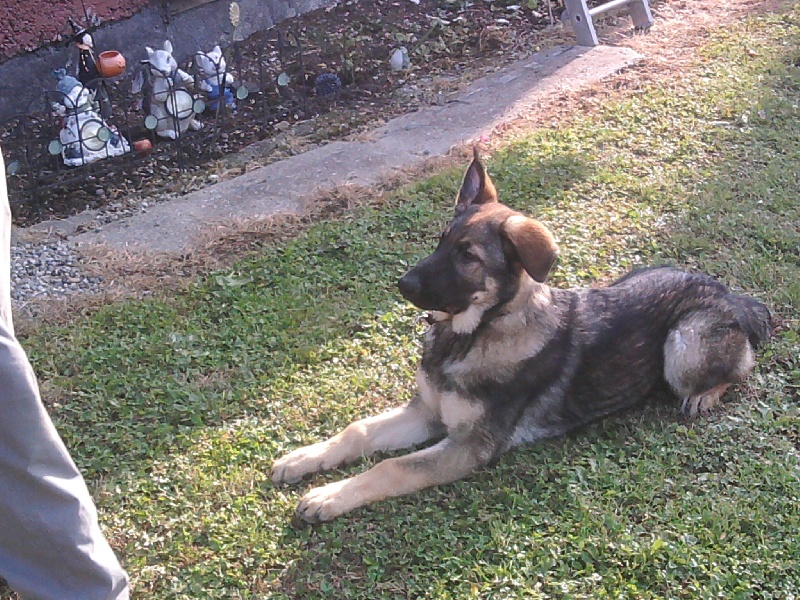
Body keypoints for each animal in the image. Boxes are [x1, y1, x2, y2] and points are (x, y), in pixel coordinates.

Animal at [271, 149, 772, 523]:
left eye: (468, 255)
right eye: (440, 239)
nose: (402, 285)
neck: (472, 334)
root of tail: (729, 294)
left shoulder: (468, 447)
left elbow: (391, 467)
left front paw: (329, 496)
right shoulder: (429, 413)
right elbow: (356, 430)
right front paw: (304, 459)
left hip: (682, 348)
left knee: (741, 364)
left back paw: (705, 395)